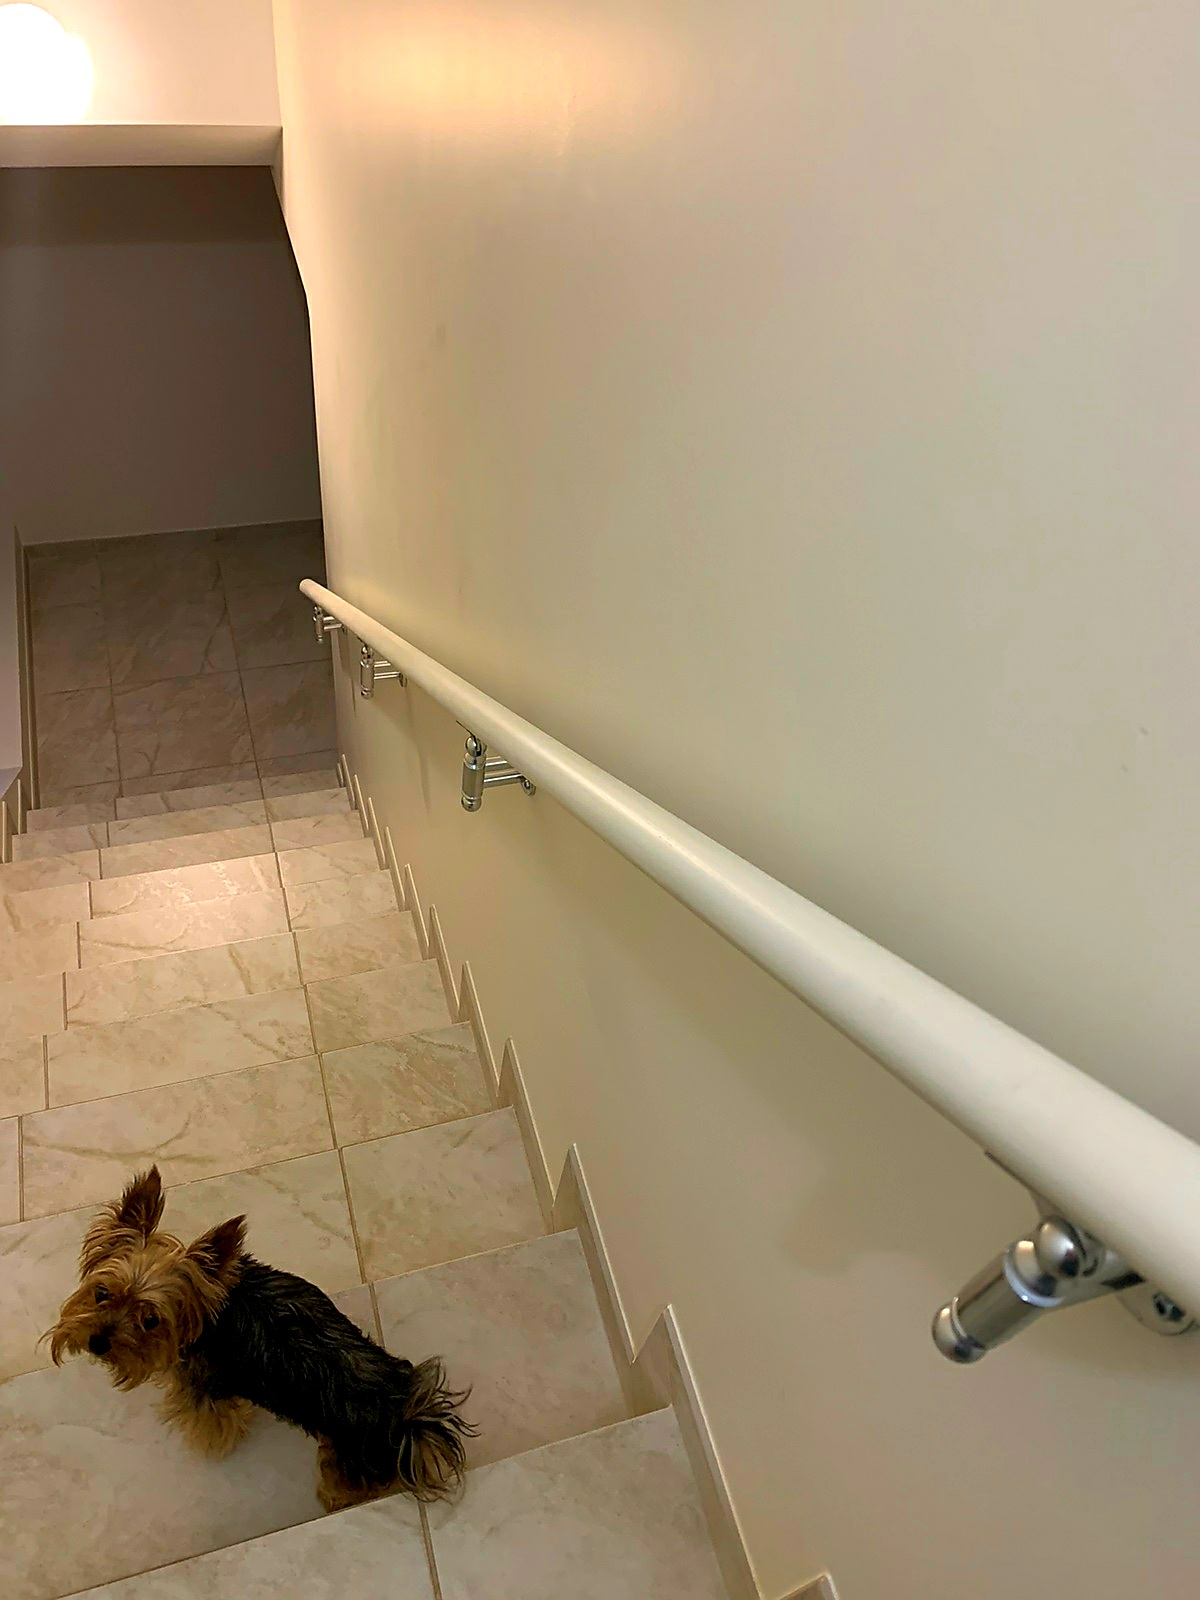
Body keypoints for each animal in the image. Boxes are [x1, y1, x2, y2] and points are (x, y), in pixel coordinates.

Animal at [46, 1166, 474, 1509]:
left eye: (151, 1320)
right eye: (102, 1293)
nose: (97, 1343)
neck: (214, 1317)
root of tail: (408, 1419)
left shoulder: (205, 1392)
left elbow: (213, 1424)